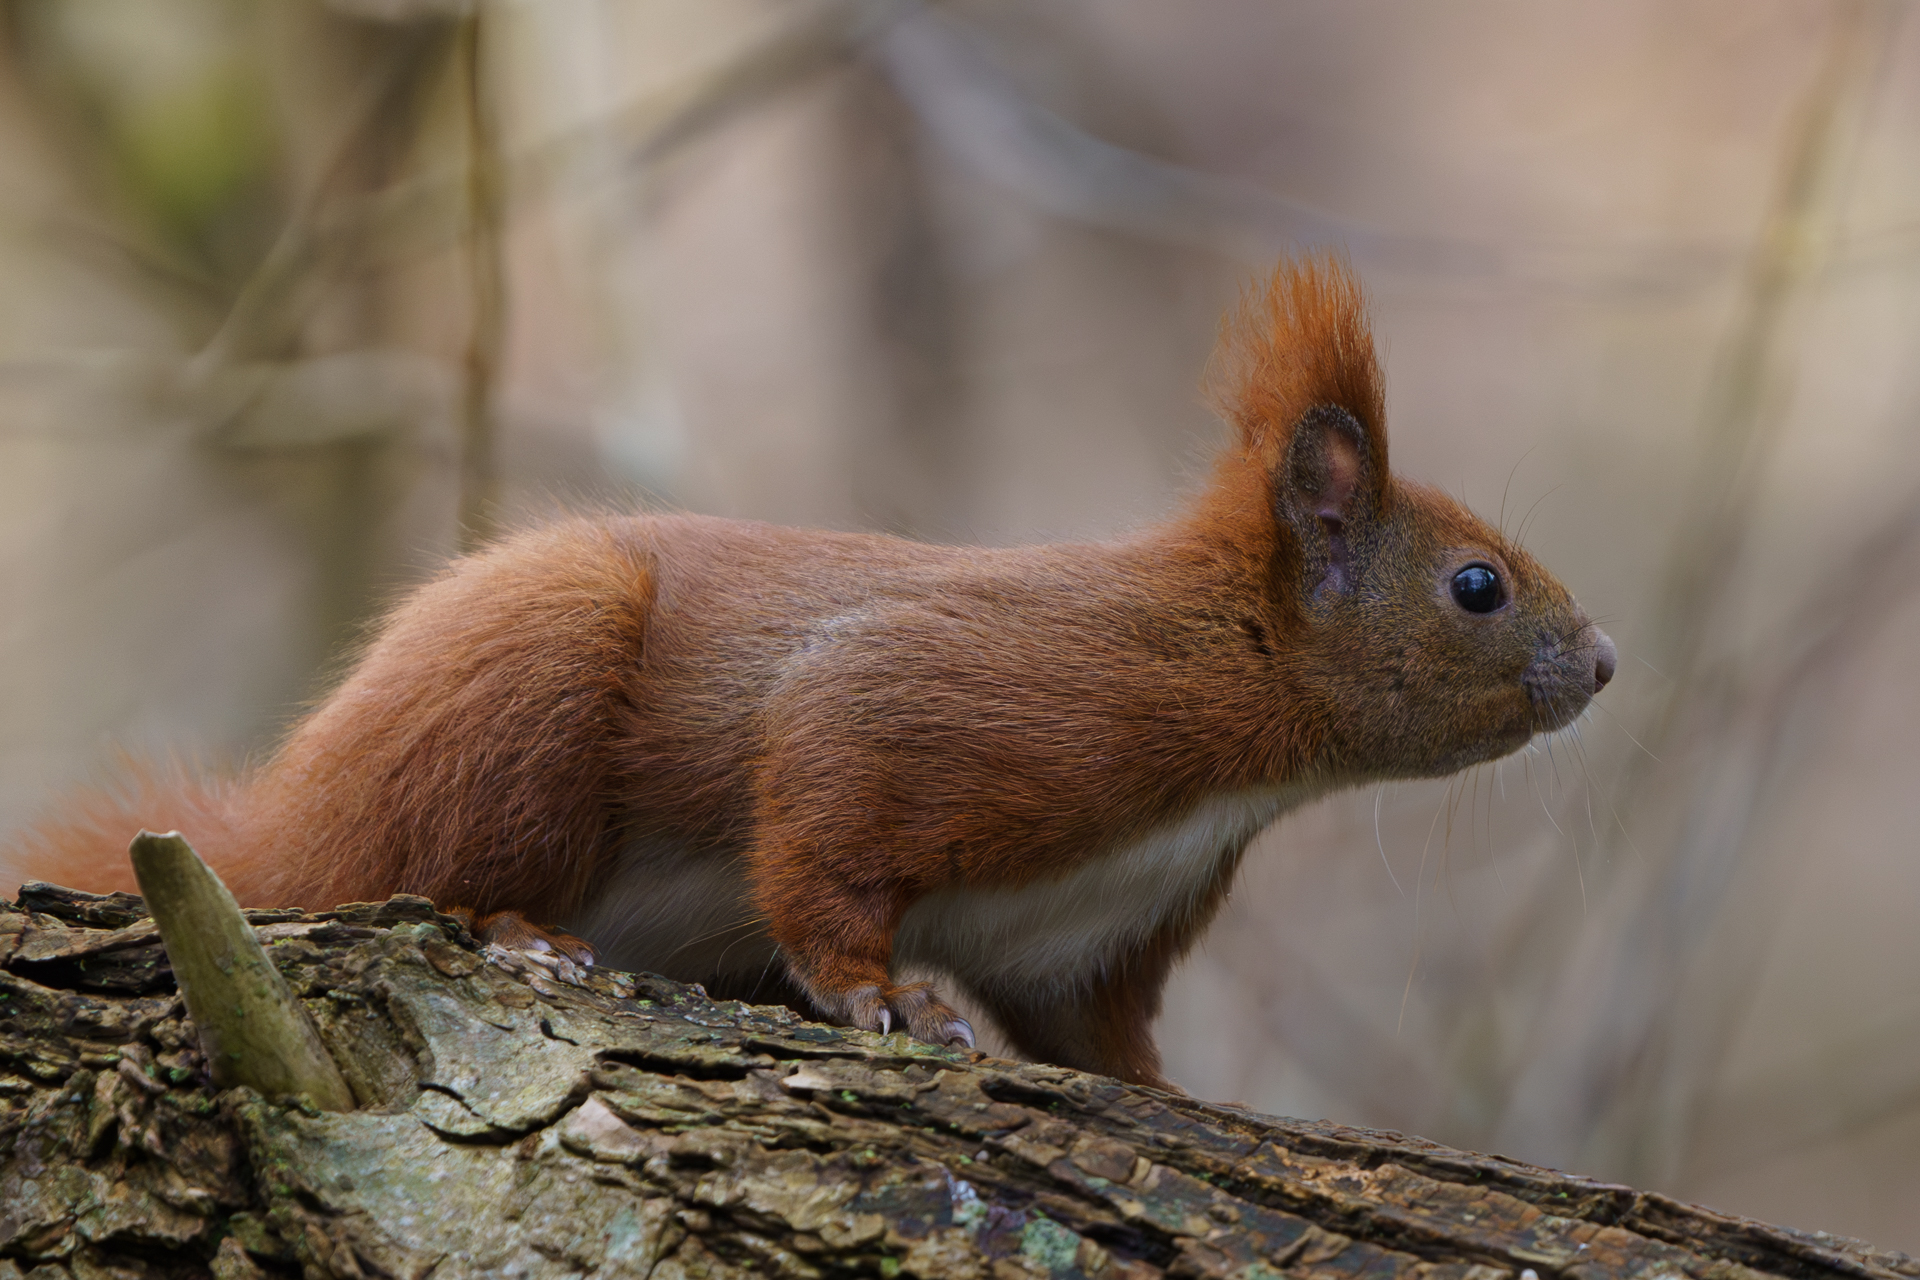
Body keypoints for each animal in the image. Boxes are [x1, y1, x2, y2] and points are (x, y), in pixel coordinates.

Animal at [15, 260, 1605, 1090]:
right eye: (1477, 584)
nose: (1600, 663)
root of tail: (285, 820)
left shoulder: (1089, 942)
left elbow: (1100, 1040)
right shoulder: (958, 707)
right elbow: (822, 838)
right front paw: (881, 995)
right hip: (516, 696)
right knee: (396, 871)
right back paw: (514, 929)